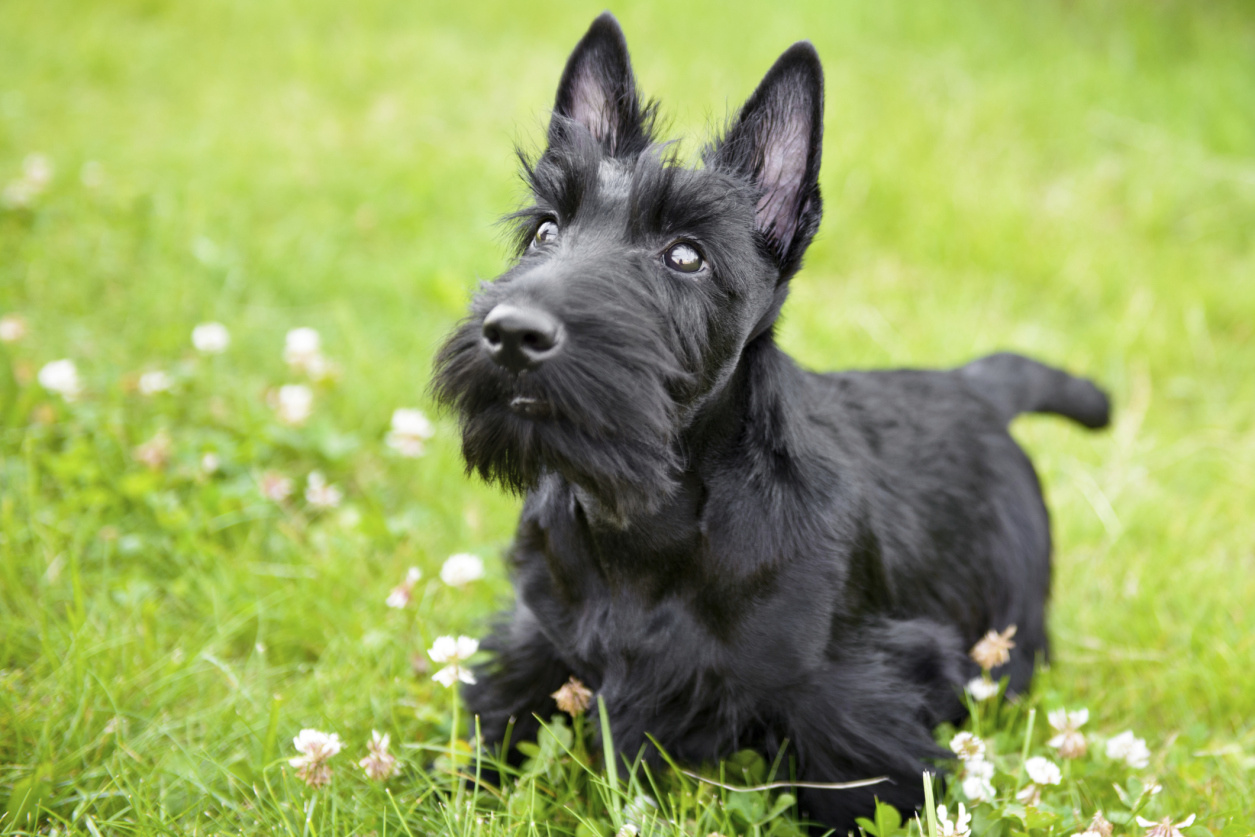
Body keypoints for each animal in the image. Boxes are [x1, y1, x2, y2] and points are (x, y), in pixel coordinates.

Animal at [431, 11, 1109, 833]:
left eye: (685, 255)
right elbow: (493, 732)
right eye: (545, 231)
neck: (646, 527)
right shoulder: (536, 647)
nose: (511, 333)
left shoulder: (852, 704)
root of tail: (974, 383)